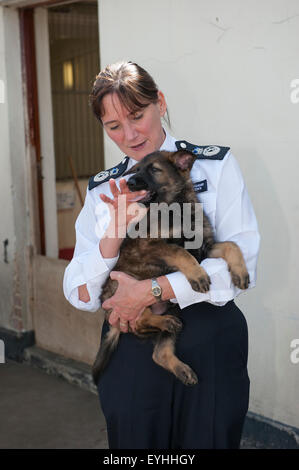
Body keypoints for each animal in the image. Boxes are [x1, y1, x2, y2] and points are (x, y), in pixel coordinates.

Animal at [92, 150, 251, 386]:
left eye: (154, 169)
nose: (129, 183)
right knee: (140, 320)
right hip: (123, 291)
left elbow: (232, 245)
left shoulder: (205, 247)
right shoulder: (151, 246)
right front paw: (197, 275)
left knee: (158, 352)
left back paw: (181, 364)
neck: (177, 208)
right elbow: (179, 252)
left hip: (174, 306)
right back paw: (163, 322)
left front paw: (240, 272)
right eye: (136, 169)